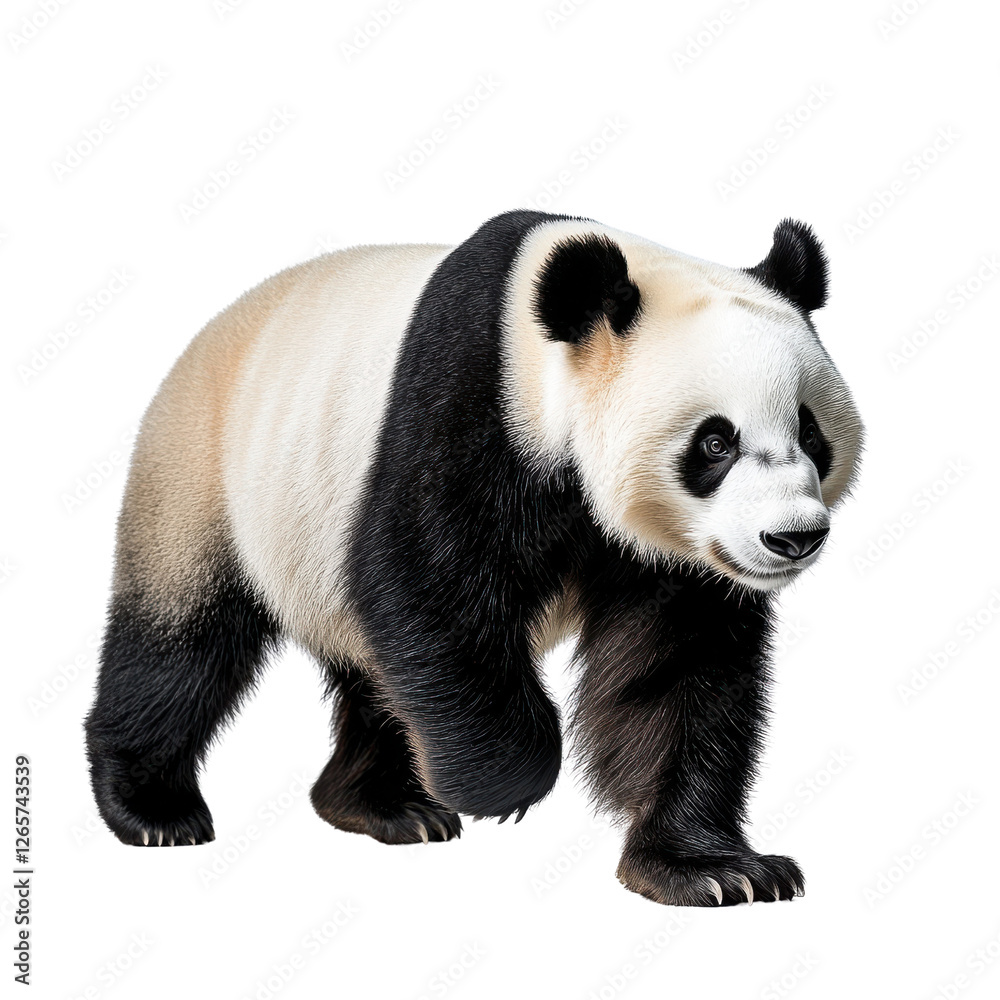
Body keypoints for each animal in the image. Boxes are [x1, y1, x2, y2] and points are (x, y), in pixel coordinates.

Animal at [85, 209, 862, 906]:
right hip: (206, 475)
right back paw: (153, 809)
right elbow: (428, 588)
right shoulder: (468, 407)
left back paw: (379, 804)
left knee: (378, 679)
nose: (792, 536)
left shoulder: (675, 559)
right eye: (715, 442)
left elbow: (676, 673)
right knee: (180, 644)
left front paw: (711, 869)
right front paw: (504, 784)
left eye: (810, 432)